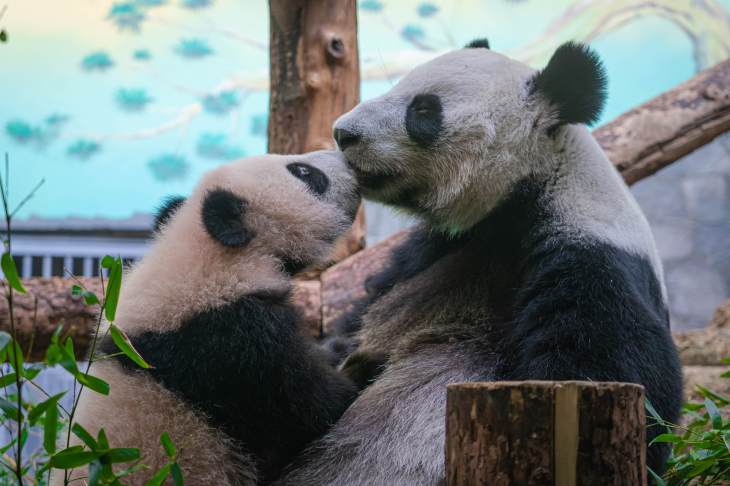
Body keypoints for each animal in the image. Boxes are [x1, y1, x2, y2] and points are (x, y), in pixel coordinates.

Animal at [278, 39, 684, 484]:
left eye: (424, 110)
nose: (343, 133)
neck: (527, 193)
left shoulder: (593, 263)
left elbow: (613, 375)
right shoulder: (436, 248)